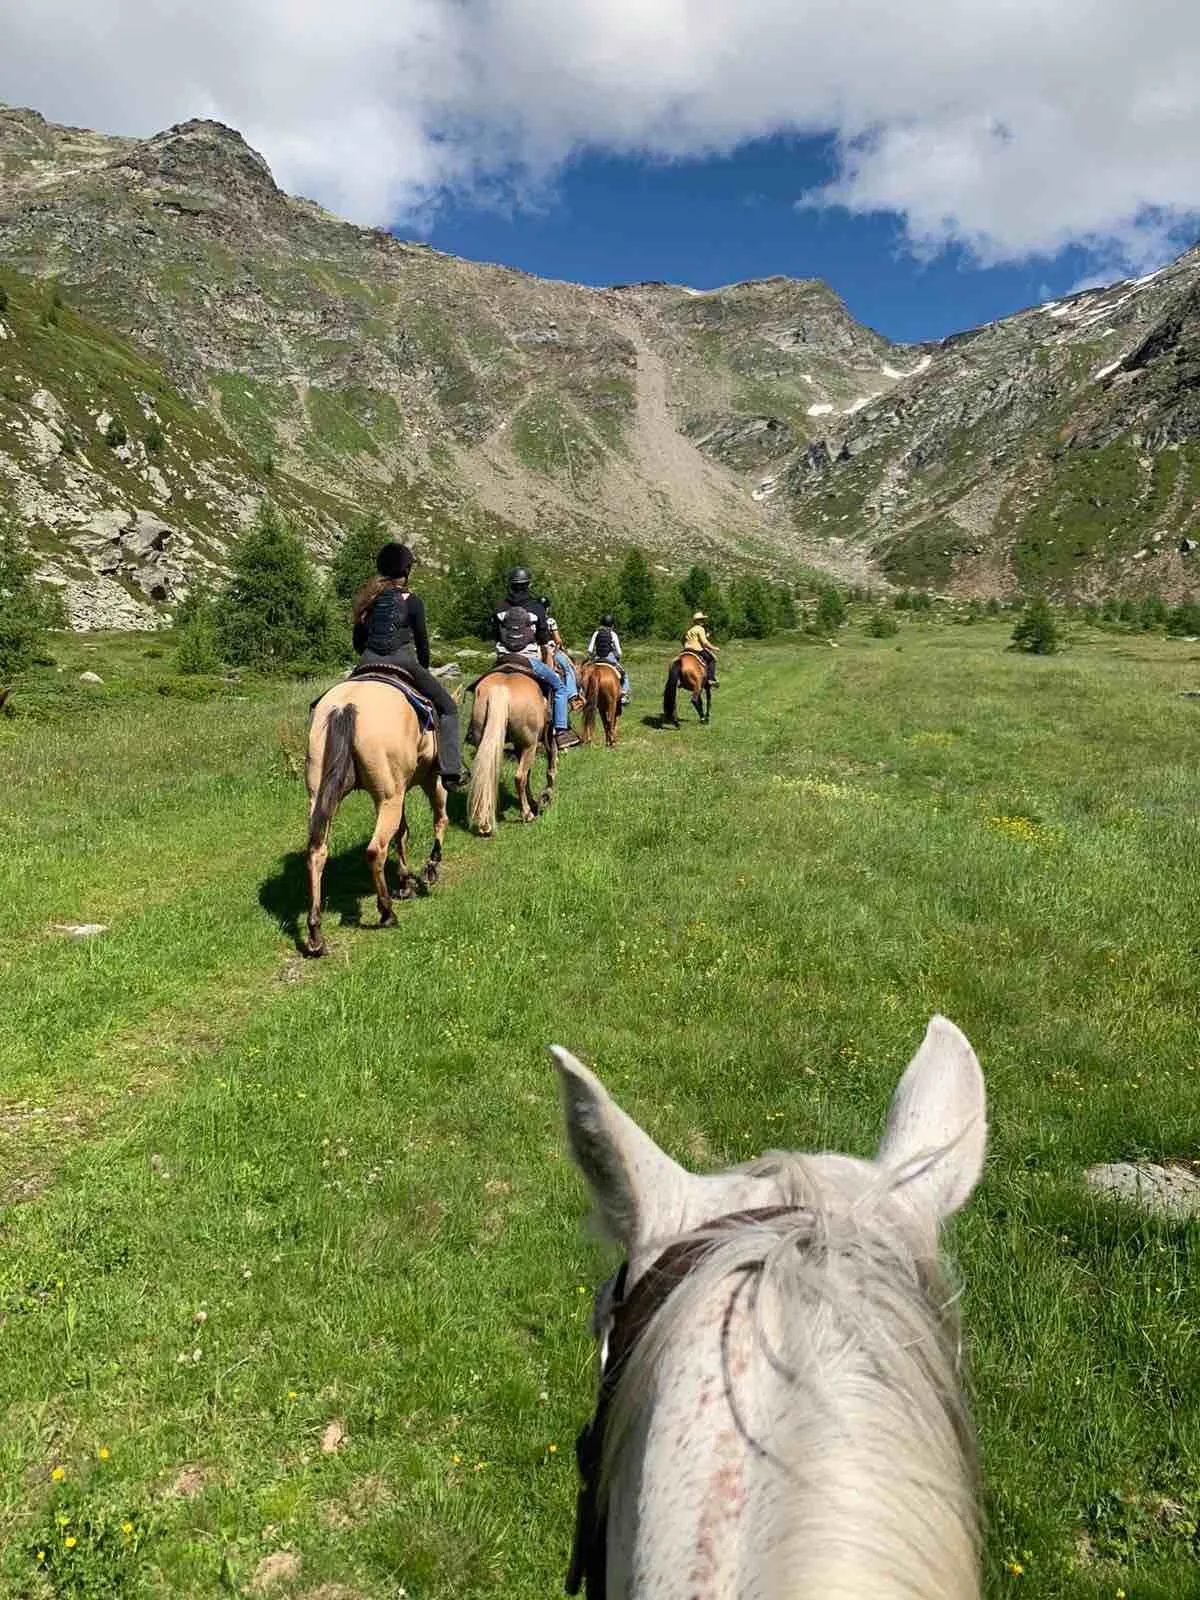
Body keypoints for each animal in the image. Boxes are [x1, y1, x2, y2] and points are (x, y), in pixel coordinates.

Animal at [303, 679, 448, 957]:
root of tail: (345, 705)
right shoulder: (430, 778)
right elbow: (439, 818)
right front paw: (431, 867)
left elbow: (402, 833)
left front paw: (405, 882)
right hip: (390, 797)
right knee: (376, 849)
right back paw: (387, 913)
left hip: (322, 794)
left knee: (317, 851)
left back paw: (315, 934)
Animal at [466, 666, 558, 836]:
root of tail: (500, 689)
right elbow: (550, 766)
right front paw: (545, 796)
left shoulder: (518, 746)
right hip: (530, 745)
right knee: (520, 777)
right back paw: (527, 814)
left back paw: (485, 822)